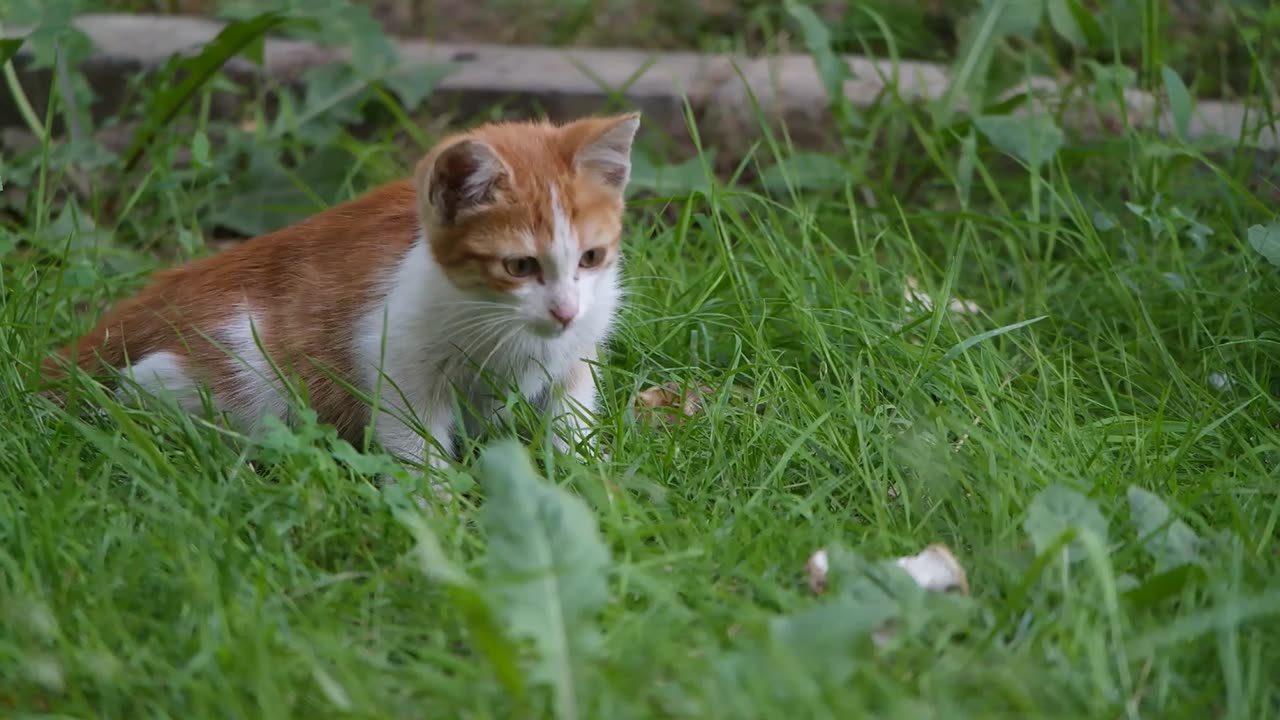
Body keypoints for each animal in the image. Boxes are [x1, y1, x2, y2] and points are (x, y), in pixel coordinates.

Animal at [42, 112, 640, 479]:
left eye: (591, 257)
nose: (564, 311)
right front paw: (439, 512)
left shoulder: (578, 353)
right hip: (242, 374)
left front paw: (591, 480)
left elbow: (572, 418)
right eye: (519, 266)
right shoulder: (395, 356)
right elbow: (414, 441)